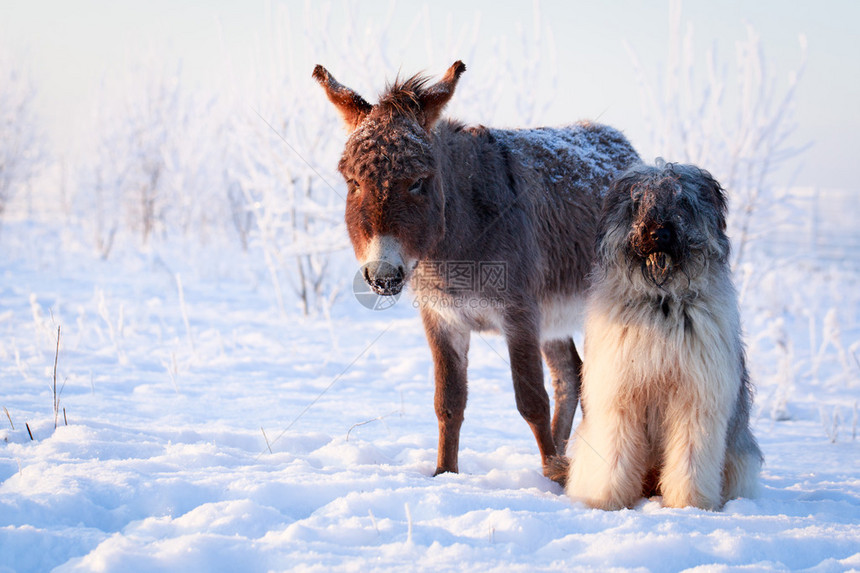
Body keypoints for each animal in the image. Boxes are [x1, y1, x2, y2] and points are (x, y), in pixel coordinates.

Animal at [568, 161, 764, 510]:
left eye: (683, 201)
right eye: (638, 202)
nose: (659, 233)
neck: (663, 303)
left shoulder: (696, 396)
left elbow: (691, 455)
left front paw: (690, 505)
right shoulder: (620, 393)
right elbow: (615, 451)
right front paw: (607, 500)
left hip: (740, 459)